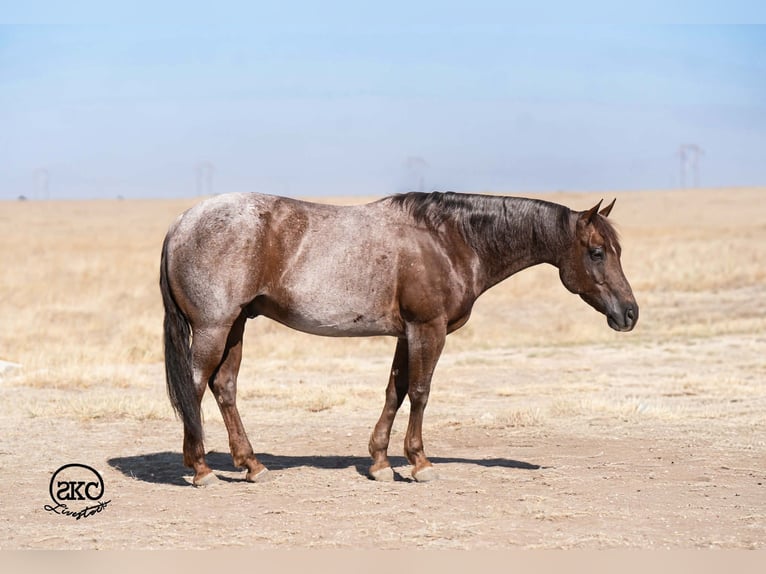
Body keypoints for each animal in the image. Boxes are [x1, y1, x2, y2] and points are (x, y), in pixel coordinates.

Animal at [160, 191, 638, 486]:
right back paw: (200, 469)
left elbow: (396, 390)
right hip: (214, 327)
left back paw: (252, 464)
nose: (630, 313)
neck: (450, 240)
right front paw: (419, 463)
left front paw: (379, 462)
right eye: (597, 252)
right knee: (196, 386)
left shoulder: (406, 333)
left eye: (617, 250)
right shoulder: (428, 329)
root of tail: (181, 222)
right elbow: (421, 391)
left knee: (224, 387)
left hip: (236, 325)